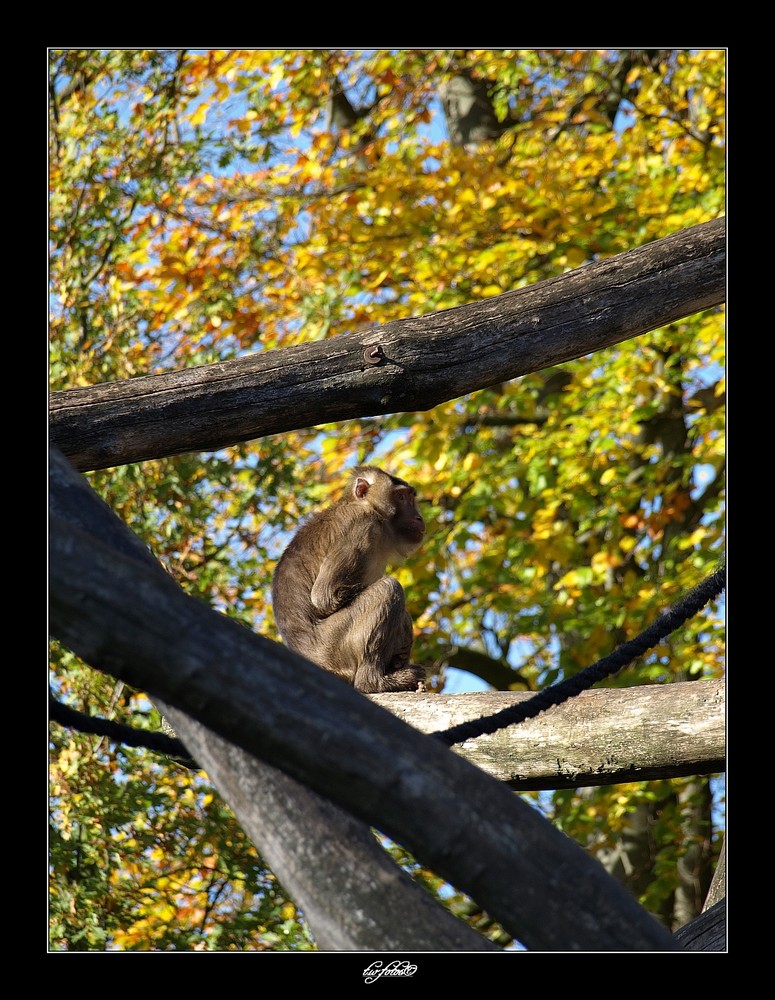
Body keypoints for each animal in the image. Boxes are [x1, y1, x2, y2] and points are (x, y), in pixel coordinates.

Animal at [272, 464, 428, 692]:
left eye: (410, 496)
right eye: (400, 497)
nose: (418, 517)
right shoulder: (362, 526)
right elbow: (324, 597)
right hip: (332, 648)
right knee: (388, 588)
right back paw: (374, 681)